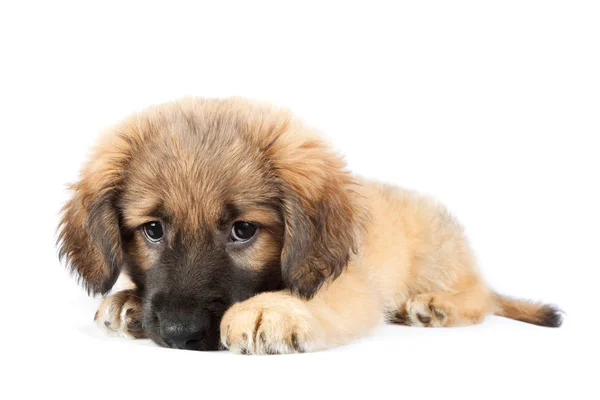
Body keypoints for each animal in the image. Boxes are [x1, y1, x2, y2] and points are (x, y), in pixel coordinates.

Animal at [57, 97, 564, 354]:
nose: (181, 334)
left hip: (436, 256)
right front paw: (125, 300)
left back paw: (435, 305)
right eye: (153, 230)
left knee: (481, 295)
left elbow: (318, 292)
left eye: (243, 230)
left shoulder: (352, 281)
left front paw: (272, 310)